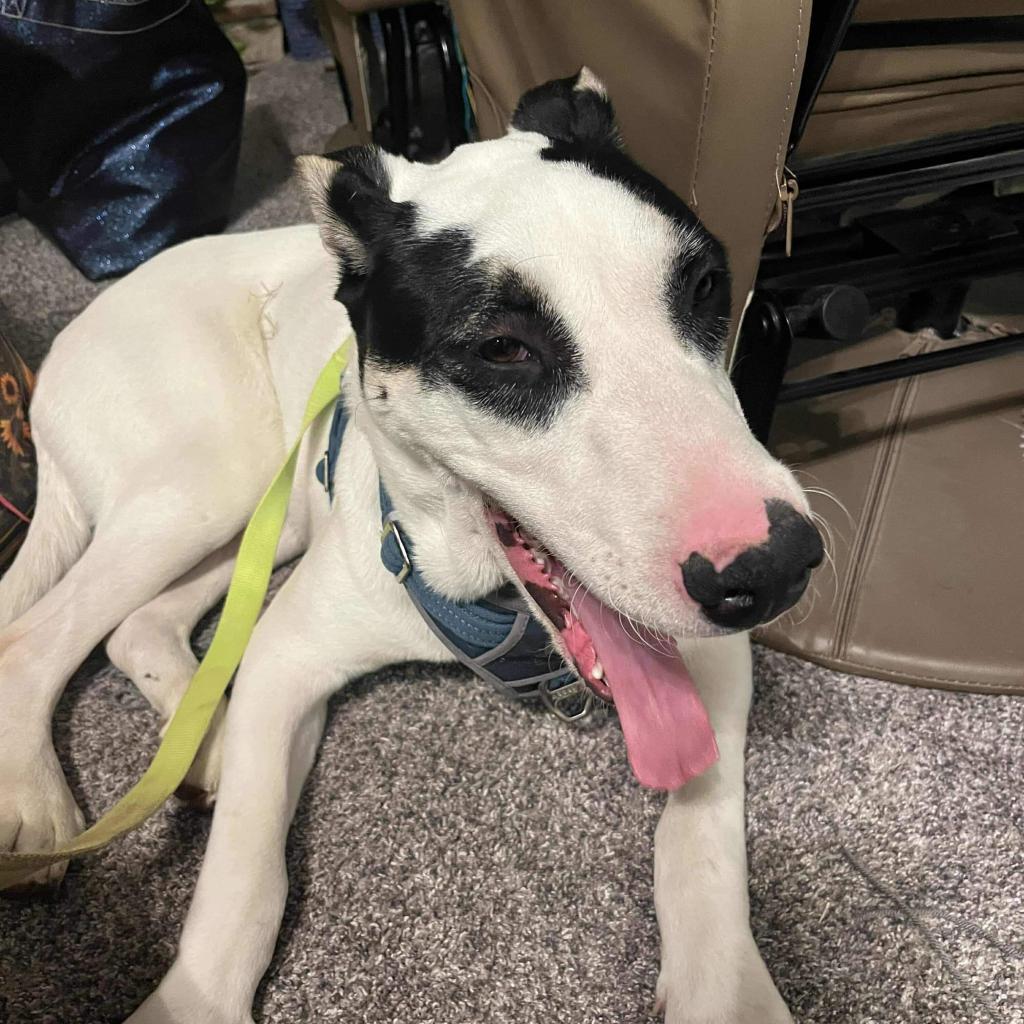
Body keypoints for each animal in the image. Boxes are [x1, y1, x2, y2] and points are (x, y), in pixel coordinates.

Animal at [0, 74, 815, 1024]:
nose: (775, 569)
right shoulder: (284, 660)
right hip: (203, 485)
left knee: (140, 625)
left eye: (708, 285)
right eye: (503, 348)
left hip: (255, 513)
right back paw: (41, 800)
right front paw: (194, 999)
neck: (487, 599)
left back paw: (205, 743)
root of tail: (62, 348)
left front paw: (726, 986)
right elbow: (245, 873)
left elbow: (703, 833)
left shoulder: (719, 661)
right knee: (36, 638)